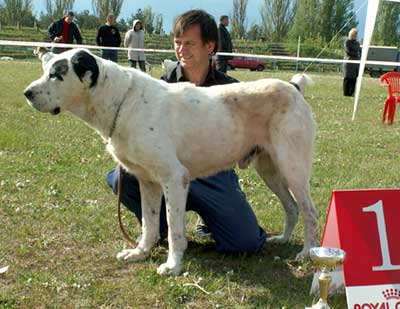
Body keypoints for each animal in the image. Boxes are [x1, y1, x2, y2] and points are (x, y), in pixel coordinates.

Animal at [24, 49, 318, 276]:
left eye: (57, 74)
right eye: (44, 68)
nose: (27, 93)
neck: (122, 101)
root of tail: (294, 87)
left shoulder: (174, 179)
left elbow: (175, 228)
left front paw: (173, 265)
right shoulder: (147, 182)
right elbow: (149, 223)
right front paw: (140, 252)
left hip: (292, 168)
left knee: (309, 211)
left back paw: (308, 252)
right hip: (270, 170)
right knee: (292, 207)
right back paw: (284, 239)